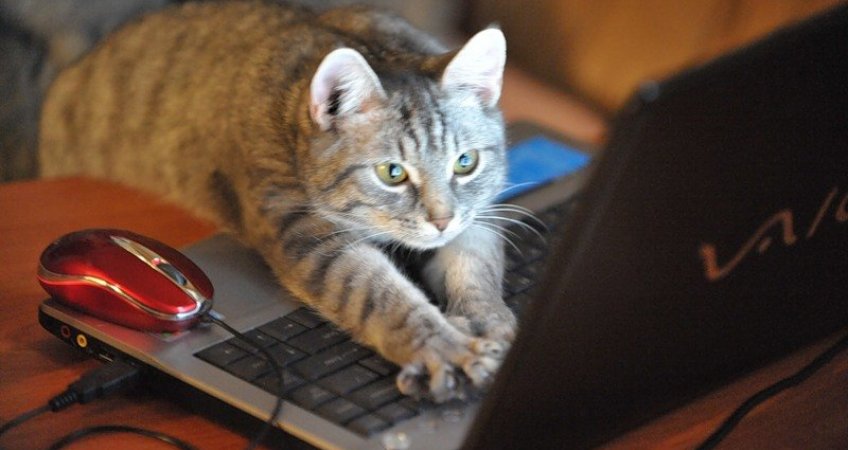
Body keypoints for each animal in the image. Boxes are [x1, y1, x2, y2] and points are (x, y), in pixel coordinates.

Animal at [39, 0, 516, 403]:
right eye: (392, 173)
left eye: (465, 163)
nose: (442, 220)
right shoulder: (307, 234)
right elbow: (379, 294)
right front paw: (444, 345)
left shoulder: (476, 217)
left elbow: (474, 265)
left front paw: (485, 318)